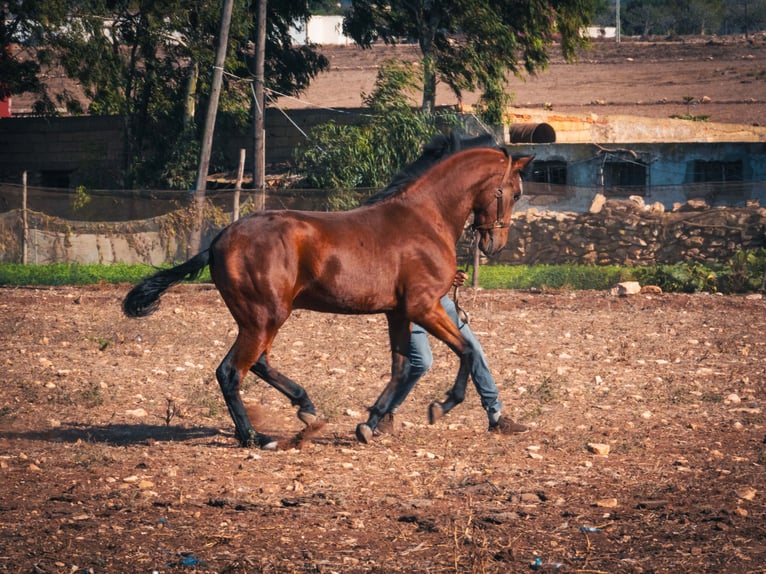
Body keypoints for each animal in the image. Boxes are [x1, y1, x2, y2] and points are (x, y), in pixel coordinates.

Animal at [126, 135, 536, 450]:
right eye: (515, 193)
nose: (495, 244)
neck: (425, 219)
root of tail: (216, 243)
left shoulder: (399, 312)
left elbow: (403, 367)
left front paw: (370, 424)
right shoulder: (424, 307)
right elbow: (466, 351)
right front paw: (441, 405)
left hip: (262, 318)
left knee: (258, 363)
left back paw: (305, 407)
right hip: (266, 317)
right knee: (231, 371)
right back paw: (256, 437)